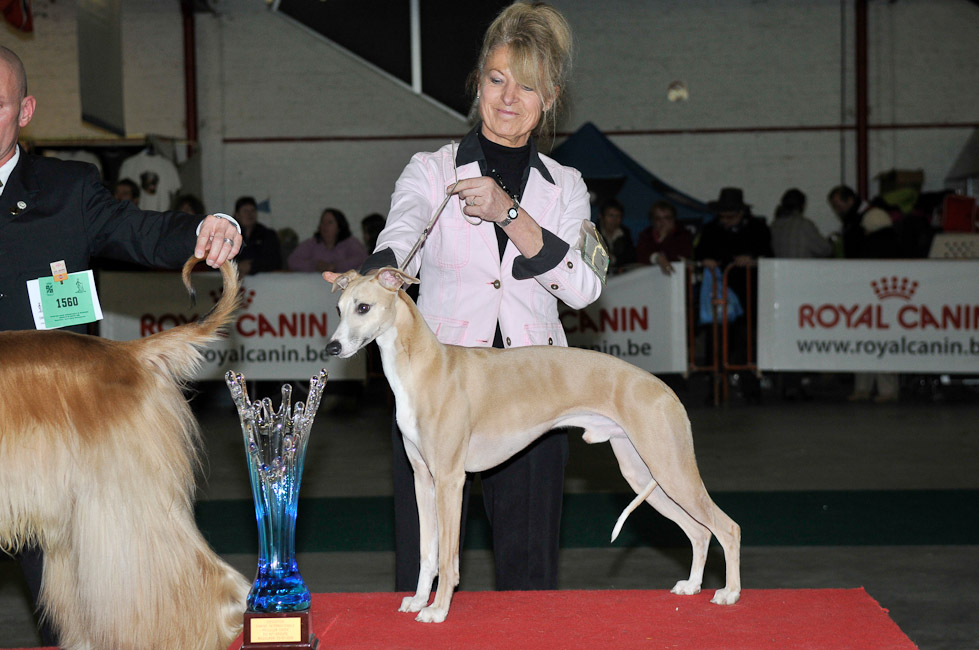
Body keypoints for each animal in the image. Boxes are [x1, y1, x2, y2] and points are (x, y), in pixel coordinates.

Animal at [324, 268, 744, 624]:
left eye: (364, 307)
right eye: (339, 308)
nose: (332, 348)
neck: (426, 366)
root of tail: (665, 389)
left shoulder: (450, 480)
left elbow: (448, 557)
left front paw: (438, 610)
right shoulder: (423, 479)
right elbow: (428, 552)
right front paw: (417, 601)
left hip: (670, 470)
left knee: (727, 527)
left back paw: (729, 593)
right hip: (643, 474)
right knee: (699, 531)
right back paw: (692, 586)